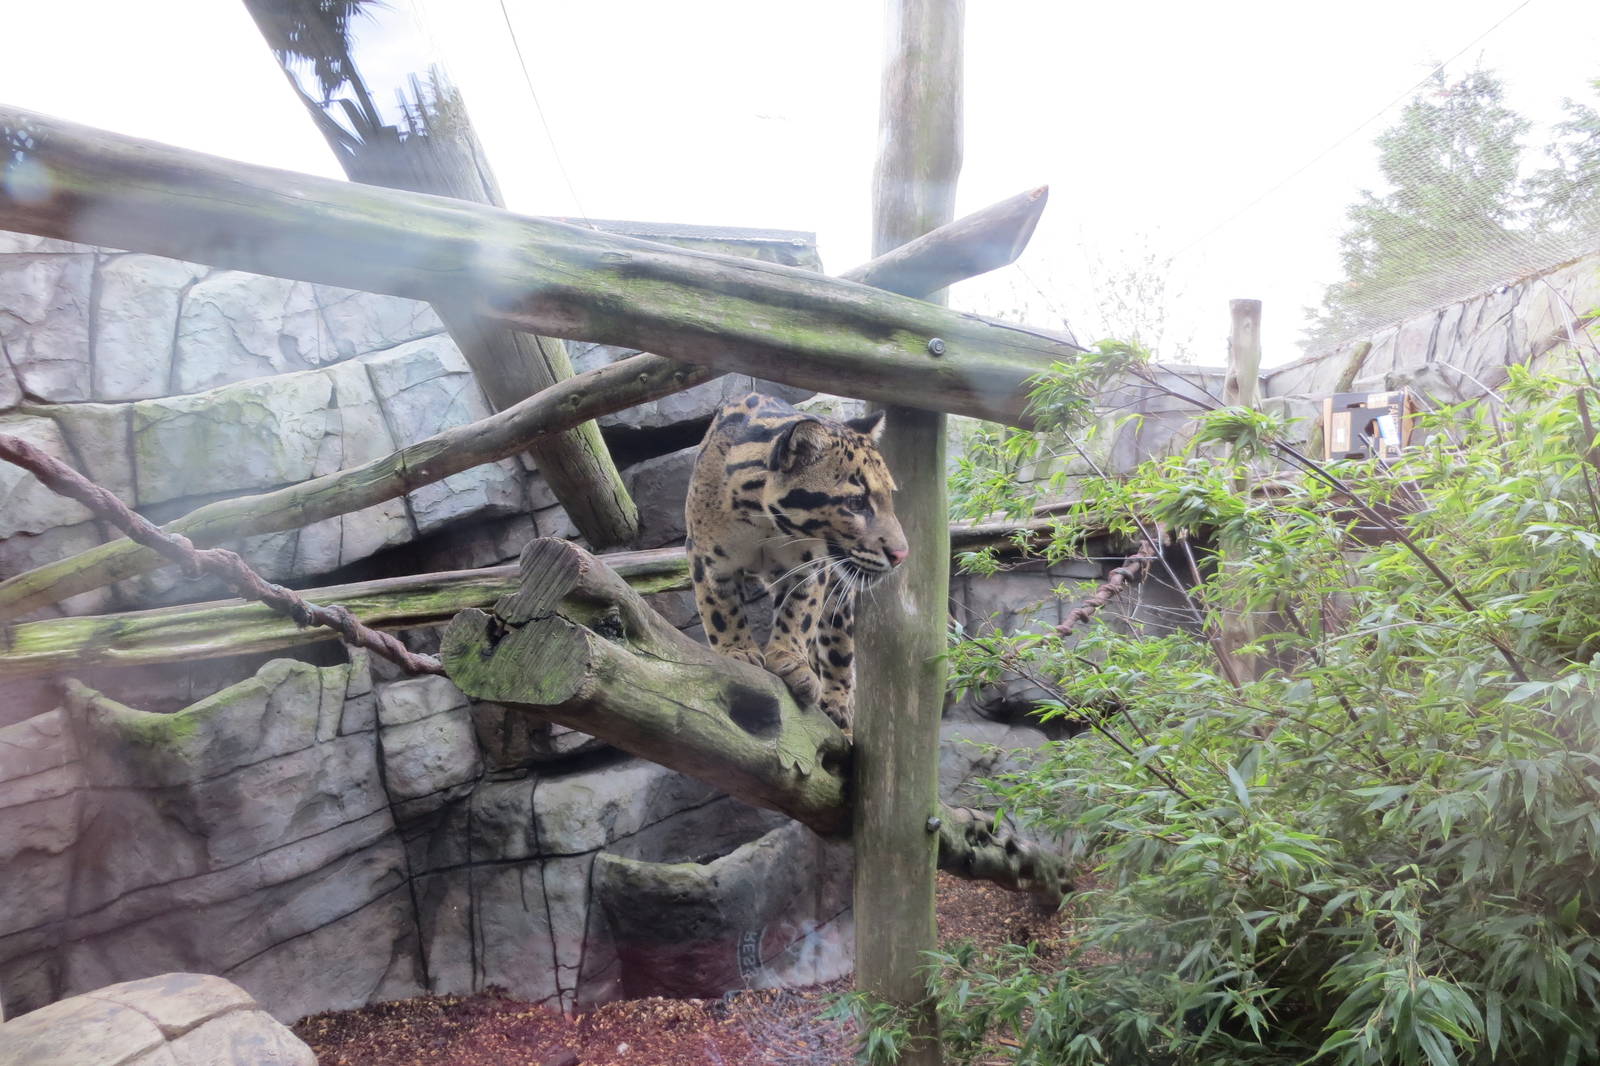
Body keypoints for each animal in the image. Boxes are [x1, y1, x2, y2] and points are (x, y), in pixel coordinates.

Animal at [684, 393, 908, 729]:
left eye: (889, 498)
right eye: (855, 503)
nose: (900, 554)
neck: (763, 522)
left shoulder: (810, 567)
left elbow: (798, 614)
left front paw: (790, 660)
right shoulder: (708, 559)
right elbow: (721, 609)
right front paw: (737, 650)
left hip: (838, 601)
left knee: (837, 646)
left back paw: (838, 702)